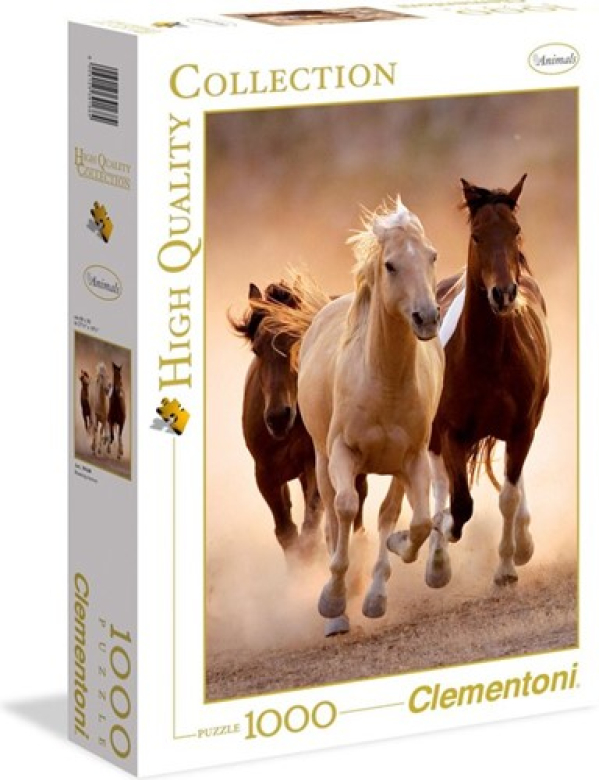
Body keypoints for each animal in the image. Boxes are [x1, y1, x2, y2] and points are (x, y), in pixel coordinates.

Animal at [230, 280, 368, 561]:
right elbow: (287, 533)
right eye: (256, 349)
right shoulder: (266, 474)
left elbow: (310, 529)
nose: (278, 417)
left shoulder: (314, 464)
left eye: (298, 341)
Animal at [264, 198, 444, 634]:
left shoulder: (413, 459)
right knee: (332, 514)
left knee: (387, 514)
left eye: (431, 256)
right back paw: (338, 611)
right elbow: (344, 510)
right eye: (391, 265)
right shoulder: (342, 454)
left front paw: (392, 559)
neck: (385, 382)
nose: (427, 317)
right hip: (321, 459)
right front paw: (332, 601)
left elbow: (414, 522)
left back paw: (375, 594)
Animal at [422, 175, 551, 590]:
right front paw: (444, 538)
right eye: (477, 235)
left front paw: (508, 565)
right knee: (439, 484)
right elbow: (459, 502)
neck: (490, 357)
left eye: (516, 230)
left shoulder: (523, 427)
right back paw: (437, 560)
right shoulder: (450, 431)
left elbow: (507, 496)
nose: (504, 293)